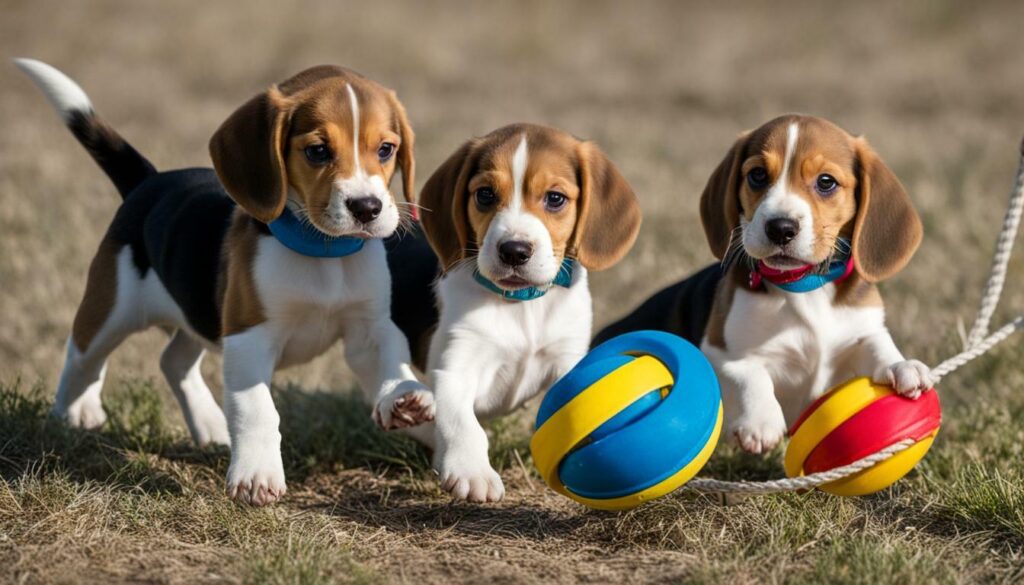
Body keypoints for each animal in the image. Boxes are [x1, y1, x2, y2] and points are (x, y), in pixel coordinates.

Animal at [16, 60, 432, 508]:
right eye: (318, 151)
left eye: (386, 149)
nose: (367, 208)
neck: (323, 252)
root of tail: (149, 181)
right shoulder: (249, 335)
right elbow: (258, 408)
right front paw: (256, 475)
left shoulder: (370, 328)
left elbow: (392, 362)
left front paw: (405, 399)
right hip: (115, 306)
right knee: (82, 353)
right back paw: (74, 412)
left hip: (197, 315)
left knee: (172, 359)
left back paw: (209, 423)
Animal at [407, 124, 638, 504]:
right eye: (485, 195)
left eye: (555, 198)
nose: (514, 250)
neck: (521, 303)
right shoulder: (455, 366)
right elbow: (461, 421)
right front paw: (472, 471)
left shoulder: (568, 357)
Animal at [598, 113, 933, 452]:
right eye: (757, 175)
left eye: (826, 182)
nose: (781, 228)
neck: (805, 287)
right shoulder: (719, 350)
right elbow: (749, 372)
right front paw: (761, 422)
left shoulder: (861, 328)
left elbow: (878, 342)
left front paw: (903, 366)